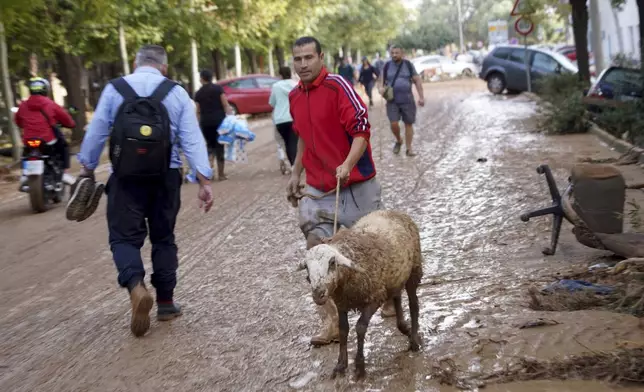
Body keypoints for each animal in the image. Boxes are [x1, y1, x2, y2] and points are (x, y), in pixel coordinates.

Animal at [296, 210, 422, 378]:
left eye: (332, 263)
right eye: (307, 268)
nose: (318, 294)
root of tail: (392, 211)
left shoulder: (375, 297)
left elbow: (360, 327)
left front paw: (359, 365)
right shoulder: (341, 303)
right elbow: (343, 330)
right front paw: (341, 364)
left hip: (414, 269)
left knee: (414, 304)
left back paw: (414, 340)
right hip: (395, 277)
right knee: (397, 298)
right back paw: (404, 328)